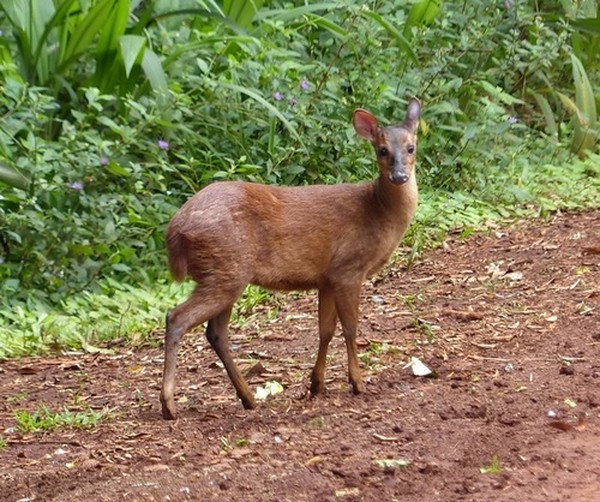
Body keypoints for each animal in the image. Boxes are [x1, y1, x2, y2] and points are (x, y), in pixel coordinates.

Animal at [161, 96, 422, 418]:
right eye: (382, 149)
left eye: (411, 147)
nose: (399, 176)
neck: (377, 211)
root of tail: (174, 232)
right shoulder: (348, 268)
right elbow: (350, 328)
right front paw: (358, 383)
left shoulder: (327, 277)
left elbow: (325, 330)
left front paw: (316, 384)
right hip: (226, 268)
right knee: (177, 317)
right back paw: (169, 405)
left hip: (224, 272)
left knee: (216, 332)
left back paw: (248, 397)